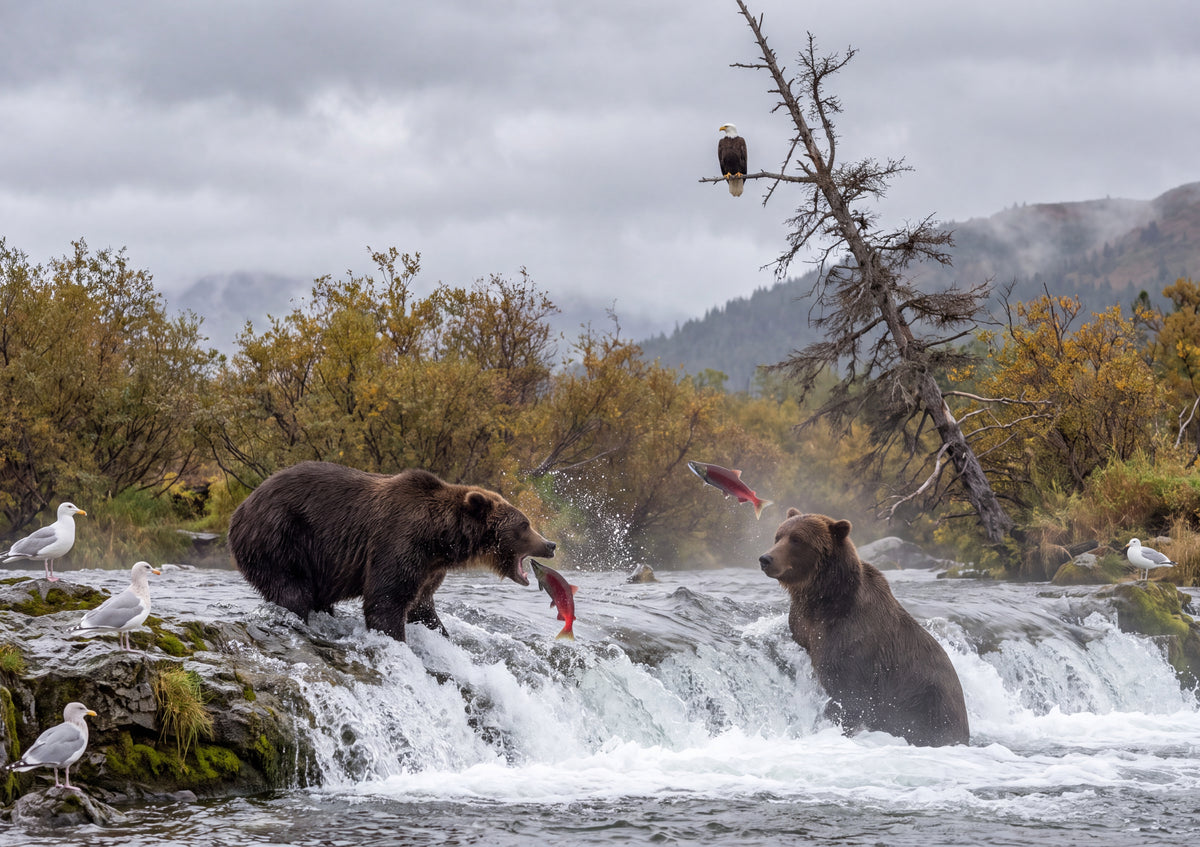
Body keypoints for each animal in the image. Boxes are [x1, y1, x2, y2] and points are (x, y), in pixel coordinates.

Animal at [228, 461, 556, 642]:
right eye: (525, 524)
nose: (550, 544)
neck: (441, 539)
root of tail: (241, 508)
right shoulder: (399, 541)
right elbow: (385, 600)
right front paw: (395, 638)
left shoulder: (429, 568)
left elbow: (422, 606)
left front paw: (442, 633)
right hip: (279, 537)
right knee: (292, 591)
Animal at [758, 509, 969, 747]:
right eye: (778, 536)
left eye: (797, 539)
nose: (766, 558)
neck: (823, 597)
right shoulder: (803, 623)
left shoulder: (850, 641)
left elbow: (849, 696)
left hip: (927, 704)